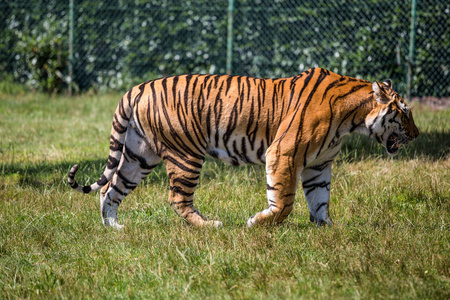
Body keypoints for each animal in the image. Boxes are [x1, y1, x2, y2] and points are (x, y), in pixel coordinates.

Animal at [68, 68, 420, 229]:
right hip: (185, 155)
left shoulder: (319, 165)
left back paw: (114, 227)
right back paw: (210, 226)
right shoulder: (284, 154)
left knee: (110, 188)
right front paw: (258, 222)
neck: (353, 118)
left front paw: (327, 228)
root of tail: (138, 87)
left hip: (139, 155)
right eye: (404, 112)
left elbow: (320, 200)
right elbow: (284, 201)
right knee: (177, 199)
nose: (416, 135)